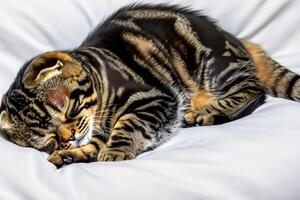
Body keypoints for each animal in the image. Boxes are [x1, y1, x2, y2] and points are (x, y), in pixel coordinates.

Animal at [0, 4, 300, 167]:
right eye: (48, 137)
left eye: (69, 110)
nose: (69, 136)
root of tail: (237, 40)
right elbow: (92, 145)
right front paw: (71, 154)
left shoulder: (153, 99)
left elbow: (126, 127)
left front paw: (114, 152)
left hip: (212, 67)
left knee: (253, 92)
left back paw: (204, 112)